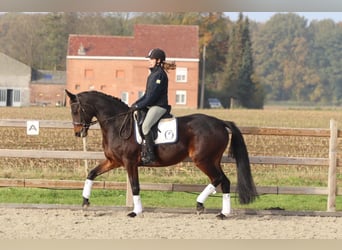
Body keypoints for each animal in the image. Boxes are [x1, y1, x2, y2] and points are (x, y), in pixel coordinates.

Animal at [65, 90, 256, 219]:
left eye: (76, 110)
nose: (78, 133)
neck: (117, 123)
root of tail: (220, 122)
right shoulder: (113, 161)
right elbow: (91, 174)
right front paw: (85, 202)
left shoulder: (129, 162)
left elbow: (135, 186)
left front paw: (136, 211)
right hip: (213, 160)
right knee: (225, 181)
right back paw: (223, 213)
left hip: (203, 160)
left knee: (217, 179)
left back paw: (200, 204)